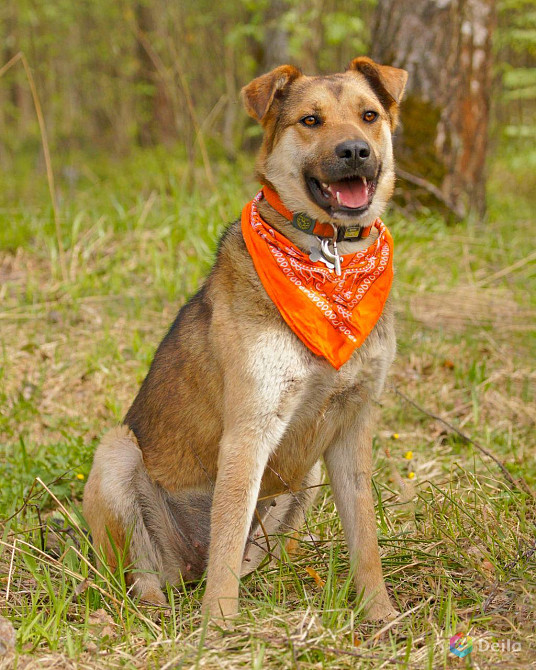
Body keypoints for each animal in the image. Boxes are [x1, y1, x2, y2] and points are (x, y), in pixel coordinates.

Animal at [84, 57, 408, 624]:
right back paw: (155, 605)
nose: (355, 151)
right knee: (147, 572)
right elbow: (228, 539)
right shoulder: (249, 430)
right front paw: (219, 626)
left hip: (301, 484)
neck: (331, 264)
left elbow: (365, 537)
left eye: (369, 115)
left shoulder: (351, 426)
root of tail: (186, 565)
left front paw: (382, 616)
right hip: (117, 453)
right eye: (310, 121)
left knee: (247, 558)